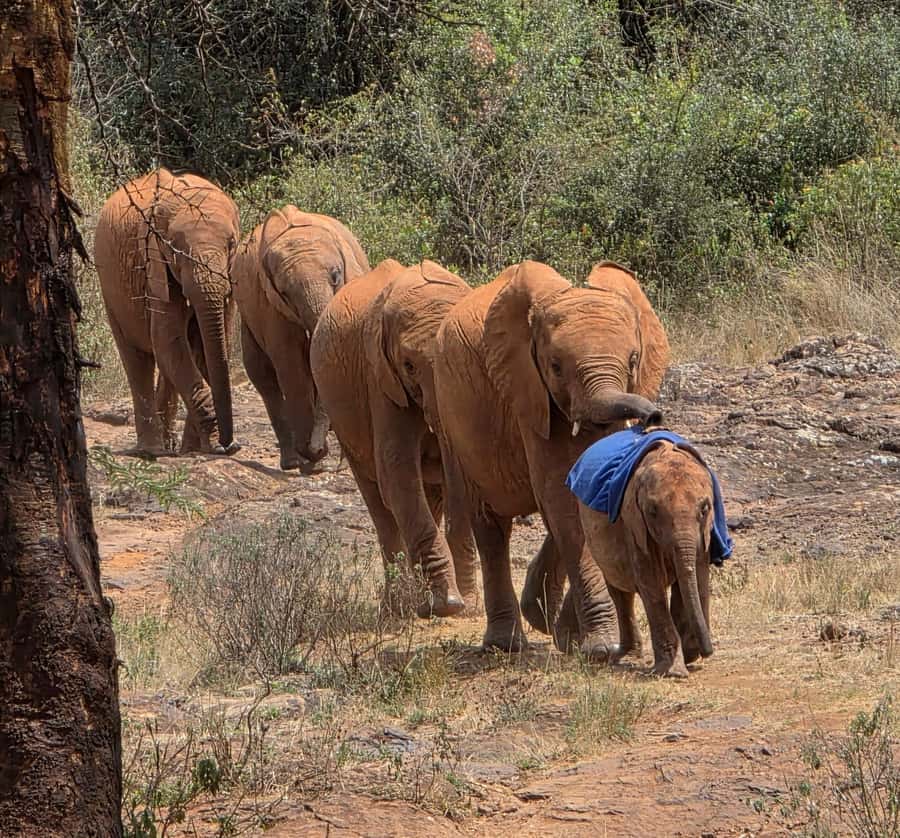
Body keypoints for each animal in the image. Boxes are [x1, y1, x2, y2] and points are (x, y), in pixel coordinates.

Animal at [94, 168, 240, 456]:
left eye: (231, 244)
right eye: (175, 251)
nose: (230, 445)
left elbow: (212, 344)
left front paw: (200, 447)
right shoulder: (153, 263)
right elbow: (168, 340)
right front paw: (213, 445)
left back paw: (170, 446)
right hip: (110, 291)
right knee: (137, 357)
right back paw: (151, 450)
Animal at [232, 206, 370, 469]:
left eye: (336, 276)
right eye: (285, 292)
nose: (318, 450)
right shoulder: (269, 304)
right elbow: (290, 363)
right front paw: (312, 457)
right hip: (247, 316)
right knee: (262, 374)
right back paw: (292, 462)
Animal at [310, 260, 478, 618]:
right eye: (409, 365)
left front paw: (468, 605)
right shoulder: (379, 378)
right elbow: (396, 470)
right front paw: (448, 604)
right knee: (379, 501)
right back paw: (399, 607)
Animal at [433, 260, 668, 654]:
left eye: (634, 360)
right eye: (555, 367)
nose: (653, 417)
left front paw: (569, 636)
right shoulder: (529, 394)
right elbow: (562, 498)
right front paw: (600, 647)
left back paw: (543, 620)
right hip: (456, 424)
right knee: (491, 526)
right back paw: (507, 644)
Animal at [577, 441, 719, 677]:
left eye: (704, 508)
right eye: (653, 511)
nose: (707, 651)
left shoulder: (704, 531)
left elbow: (696, 575)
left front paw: (688, 656)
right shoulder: (632, 523)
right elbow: (651, 583)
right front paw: (673, 672)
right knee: (620, 592)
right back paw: (625, 656)